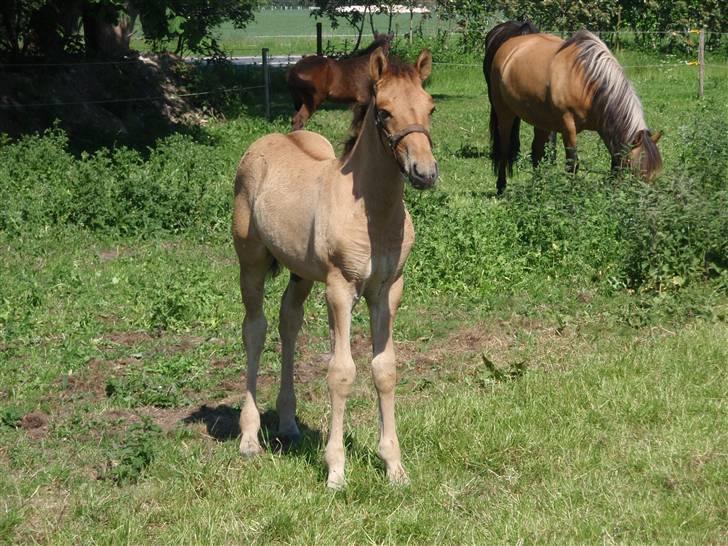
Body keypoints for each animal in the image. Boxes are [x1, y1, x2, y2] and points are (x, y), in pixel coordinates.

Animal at [233, 49, 438, 486]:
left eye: (430, 107)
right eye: (384, 112)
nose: (425, 172)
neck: (373, 214)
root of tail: (270, 138)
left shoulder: (388, 289)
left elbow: (385, 369)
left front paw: (394, 466)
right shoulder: (340, 289)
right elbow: (341, 373)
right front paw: (336, 471)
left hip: (300, 273)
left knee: (288, 322)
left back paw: (289, 424)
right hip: (251, 261)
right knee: (254, 329)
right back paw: (249, 438)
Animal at [486, 21, 664, 193]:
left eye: (655, 175)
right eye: (636, 171)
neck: (587, 83)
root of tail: (508, 46)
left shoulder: (605, 128)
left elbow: (614, 162)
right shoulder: (568, 126)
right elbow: (572, 164)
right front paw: (571, 194)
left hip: (541, 121)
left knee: (536, 152)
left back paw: (538, 189)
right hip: (504, 113)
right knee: (504, 148)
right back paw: (501, 187)